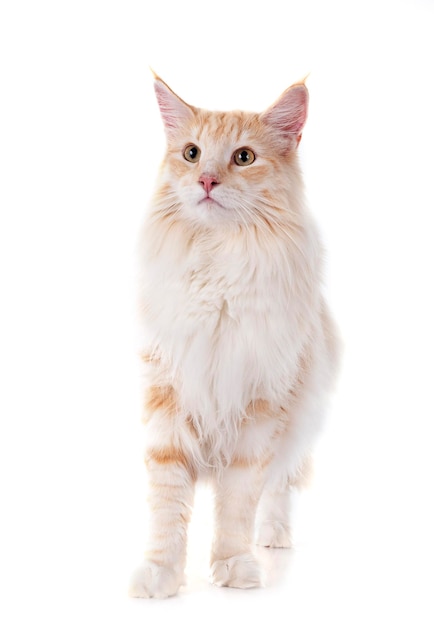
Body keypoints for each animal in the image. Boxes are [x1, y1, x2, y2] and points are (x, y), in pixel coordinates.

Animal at [129, 74, 340, 596]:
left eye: (243, 157)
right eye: (191, 154)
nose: (206, 181)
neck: (217, 261)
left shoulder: (261, 408)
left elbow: (239, 502)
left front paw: (235, 566)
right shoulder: (166, 397)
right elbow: (167, 503)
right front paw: (161, 573)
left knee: (280, 488)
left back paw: (273, 538)